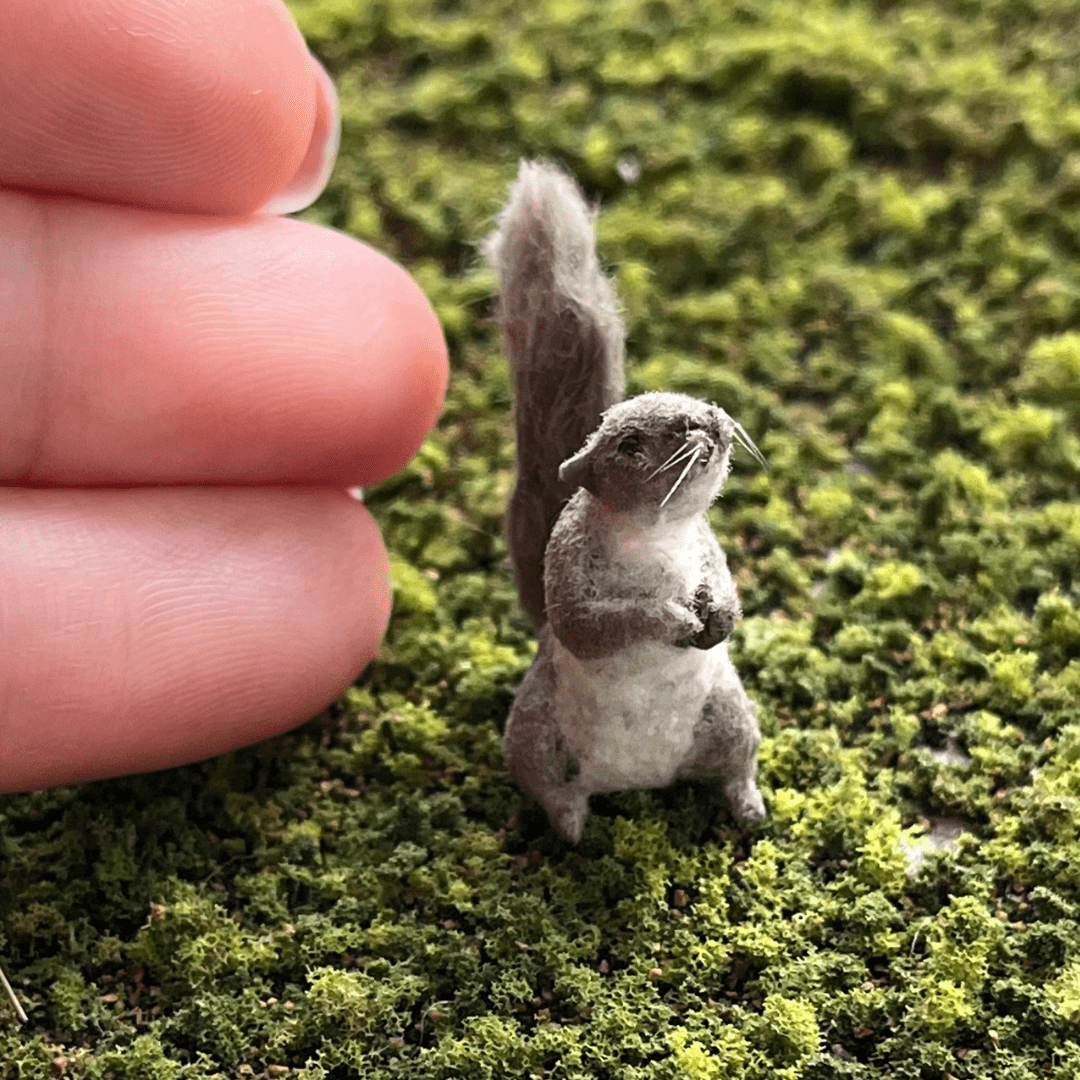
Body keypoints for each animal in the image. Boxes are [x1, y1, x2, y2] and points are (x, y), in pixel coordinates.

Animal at [484, 160, 767, 843]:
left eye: (698, 399)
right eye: (631, 444)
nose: (708, 419)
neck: (657, 531)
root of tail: (641, 780)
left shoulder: (708, 545)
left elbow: (725, 581)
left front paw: (721, 613)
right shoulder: (568, 566)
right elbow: (593, 623)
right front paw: (670, 619)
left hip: (730, 717)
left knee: (734, 767)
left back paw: (747, 807)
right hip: (534, 734)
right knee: (548, 786)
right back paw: (568, 827)